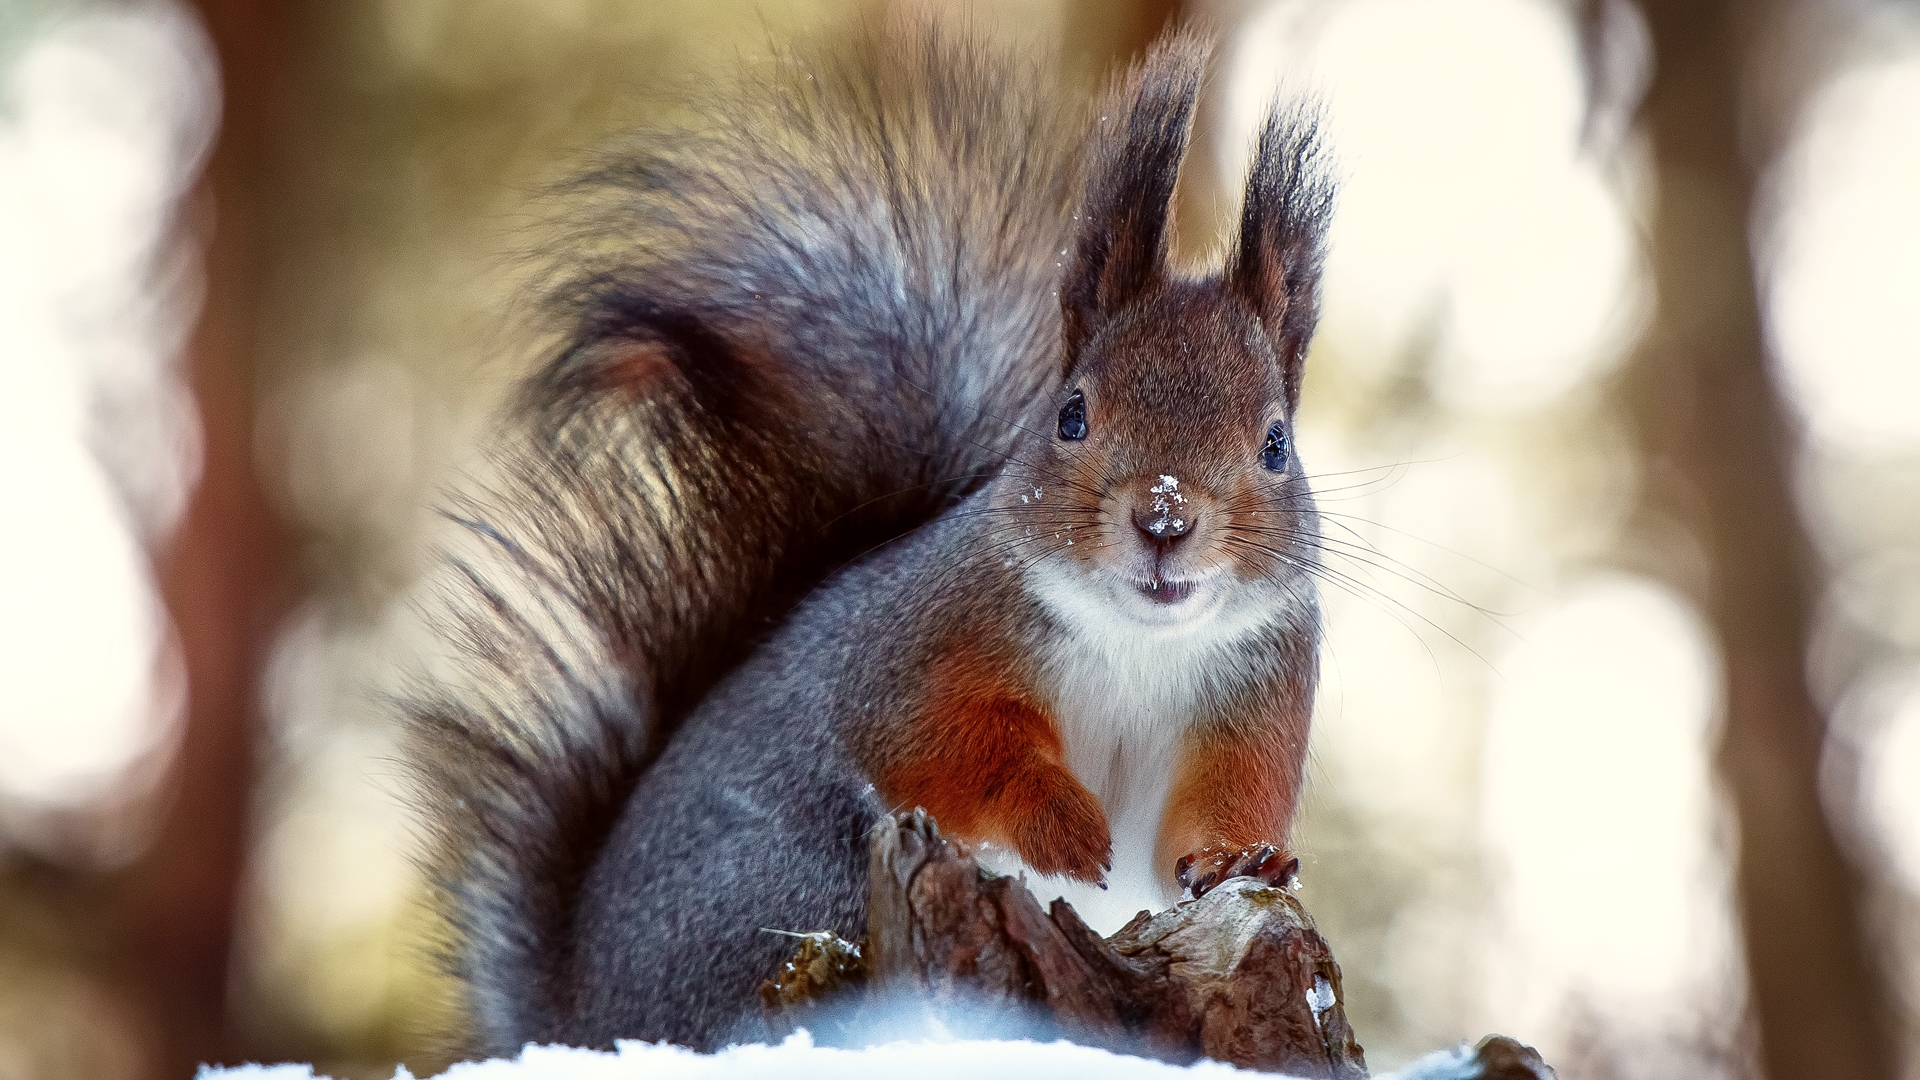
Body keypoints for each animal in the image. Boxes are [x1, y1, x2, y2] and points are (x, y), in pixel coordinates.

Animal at [401, 16, 1336, 1060]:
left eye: (1275, 443)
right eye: (1072, 415)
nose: (1165, 518)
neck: (1139, 642)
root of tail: (589, 1020)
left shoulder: (1257, 701)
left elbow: (1204, 818)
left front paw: (1241, 860)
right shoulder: (918, 646)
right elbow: (941, 747)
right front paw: (1059, 824)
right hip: (794, 895)